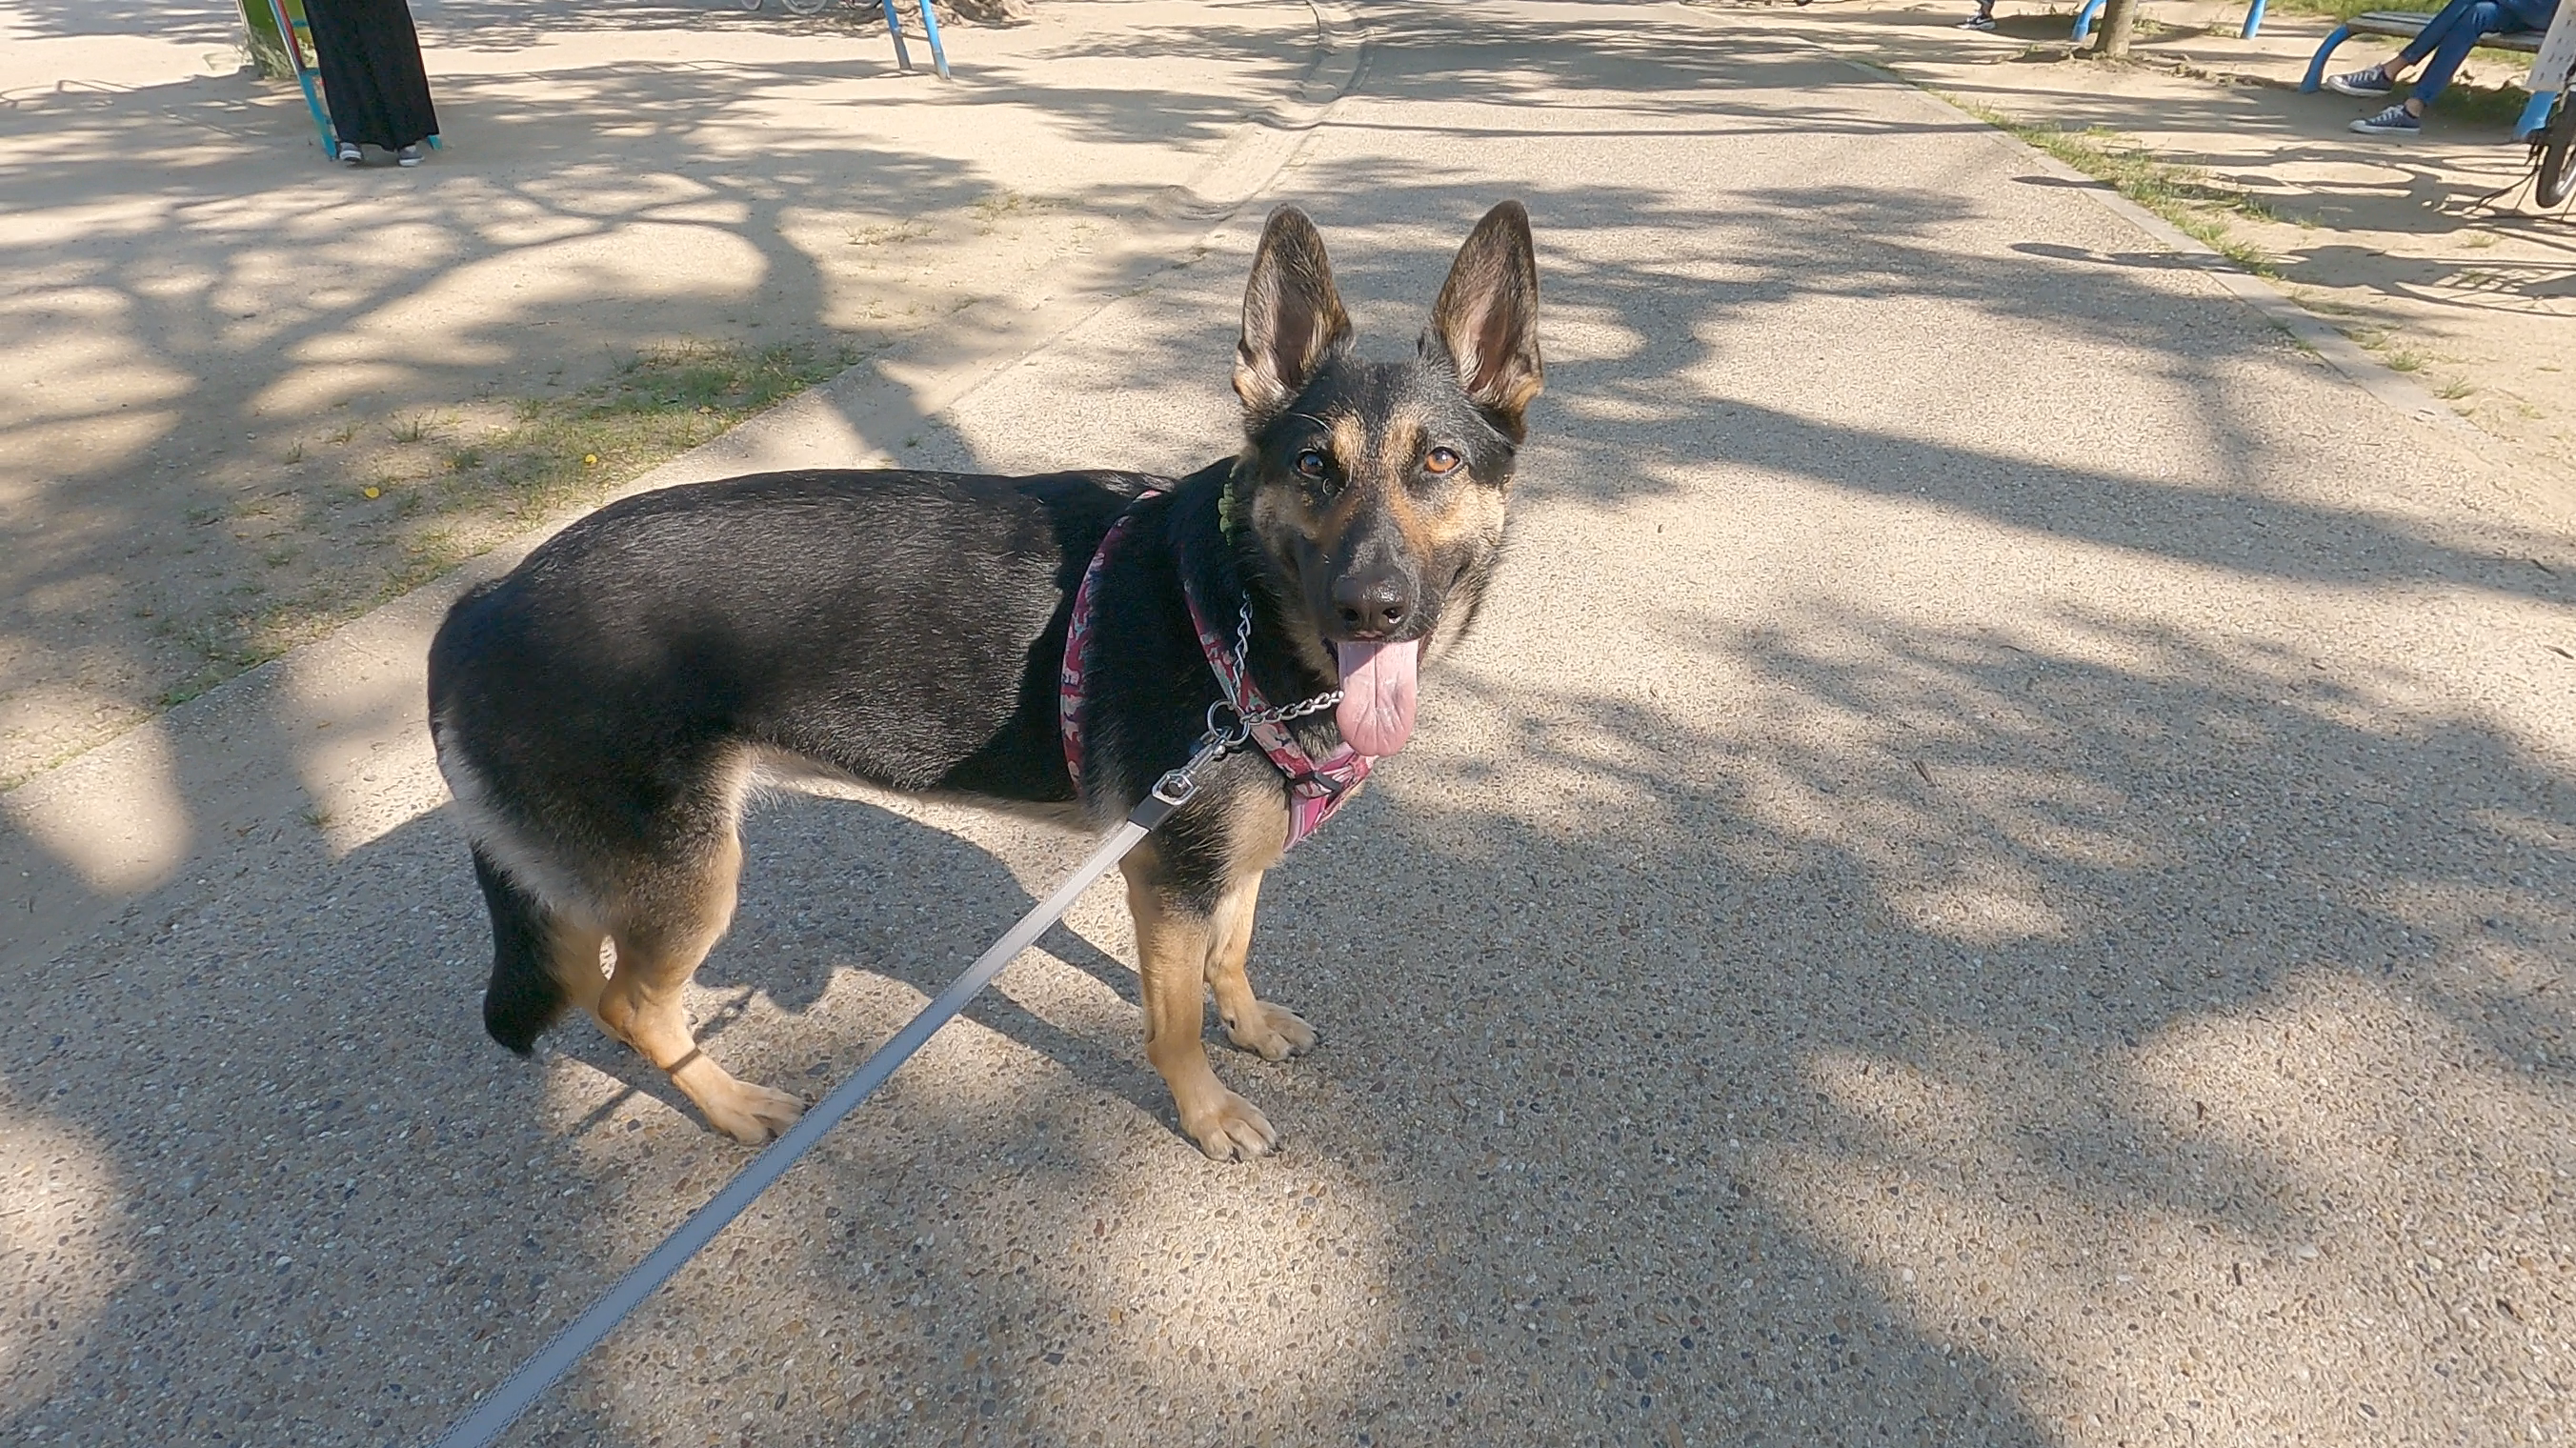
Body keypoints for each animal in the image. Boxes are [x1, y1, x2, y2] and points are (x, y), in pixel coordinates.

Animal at [426, 201, 1542, 1161]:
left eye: (1439, 461)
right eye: (1314, 465)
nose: (1373, 608)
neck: (1241, 608)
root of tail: (484, 599)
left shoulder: (1223, 863)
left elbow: (1232, 953)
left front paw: (1251, 1026)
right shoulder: (1165, 880)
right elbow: (1174, 1019)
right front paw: (1208, 1111)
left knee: (594, 985)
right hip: (691, 881)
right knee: (629, 1005)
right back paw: (734, 1103)